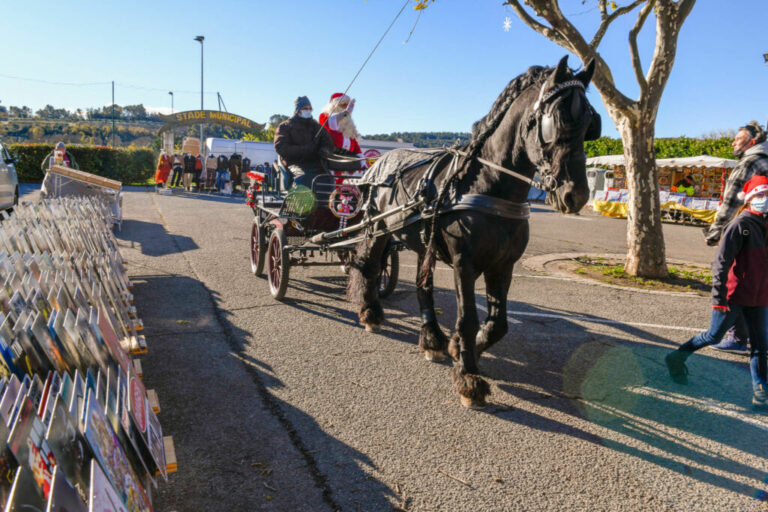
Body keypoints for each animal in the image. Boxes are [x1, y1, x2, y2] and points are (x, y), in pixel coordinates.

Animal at [346, 56, 600, 408]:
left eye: (590, 123)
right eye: (558, 119)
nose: (576, 195)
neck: (486, 184)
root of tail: (378, 163)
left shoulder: (503, 266)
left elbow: (498, 324)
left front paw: (459, 349)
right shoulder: (463, 263)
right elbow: (468, 318)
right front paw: (469, 378)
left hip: (423, 243)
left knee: (423, 287)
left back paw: (432, 339)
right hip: (377, 229)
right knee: (369, 267)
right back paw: (370, 313)